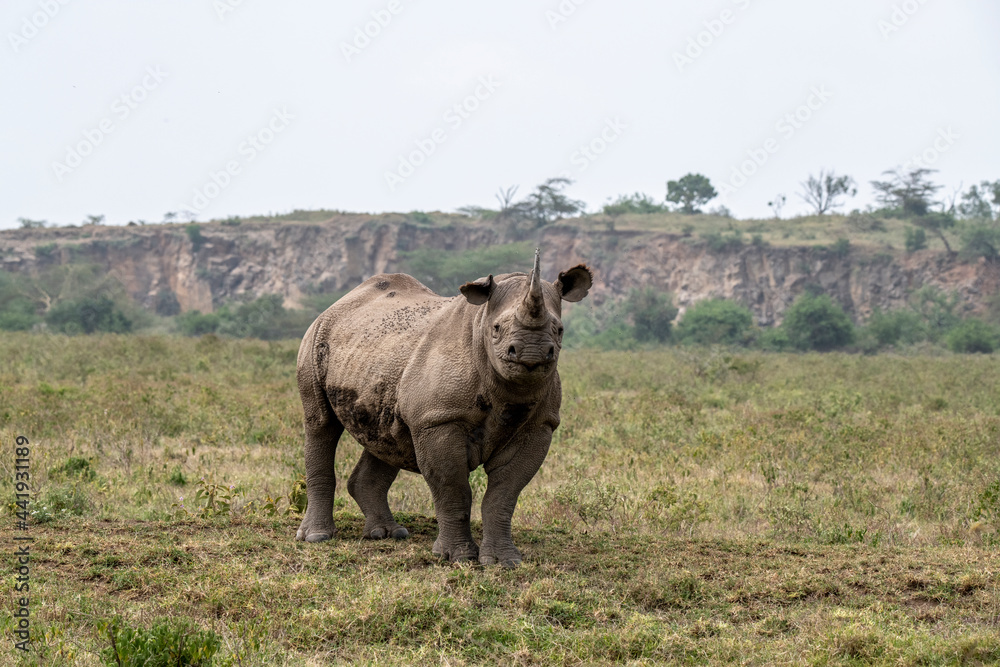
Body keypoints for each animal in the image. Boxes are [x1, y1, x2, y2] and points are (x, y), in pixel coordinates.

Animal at [294, 250, 592, 566]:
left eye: (560, 330)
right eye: (496, 329)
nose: (531, 354)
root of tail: (338, 303)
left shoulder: (539, 426)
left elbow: (504, 493)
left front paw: (504, 561)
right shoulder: (437, 419)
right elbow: (452, 487)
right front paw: (456, 557)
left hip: (378, 356)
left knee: (386, 436)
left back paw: (387, 534)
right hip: (315, 337)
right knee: (321, 423)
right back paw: (317, 537)